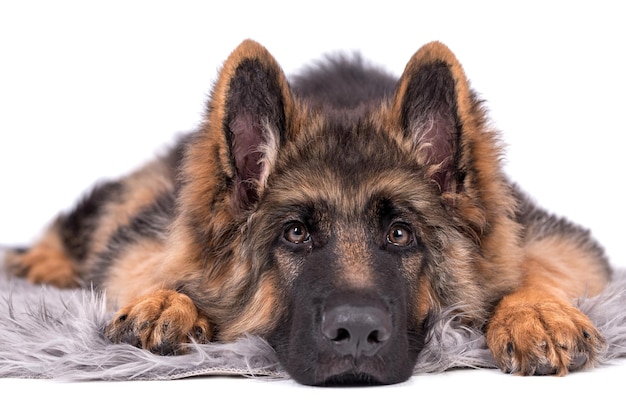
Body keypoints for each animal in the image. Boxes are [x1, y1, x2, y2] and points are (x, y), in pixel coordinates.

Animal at [4, 40, 608, 386]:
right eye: (295, 233)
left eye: (400, 234)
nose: (357, 333)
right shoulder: (144, 238)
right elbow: (151, 265)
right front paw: (166, 302)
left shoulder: (555, 238)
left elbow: (536, 265)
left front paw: (536, 312)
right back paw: (43, 262)